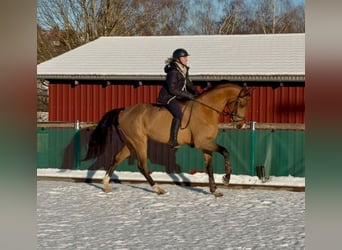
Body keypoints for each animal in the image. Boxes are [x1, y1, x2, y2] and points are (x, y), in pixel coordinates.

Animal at [84, 84, 250, 197]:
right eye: (242, 103)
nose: (240, 125)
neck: (207, 110)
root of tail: (123, 111)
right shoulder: (202, 143)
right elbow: (225, 151)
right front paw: (226, 178)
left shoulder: (206, 145)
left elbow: (209, 167)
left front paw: (215, 190)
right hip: (140, 142)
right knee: (142, 165)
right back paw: (158, 189)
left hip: (130, 144)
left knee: (116, 158)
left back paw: (106, 185)